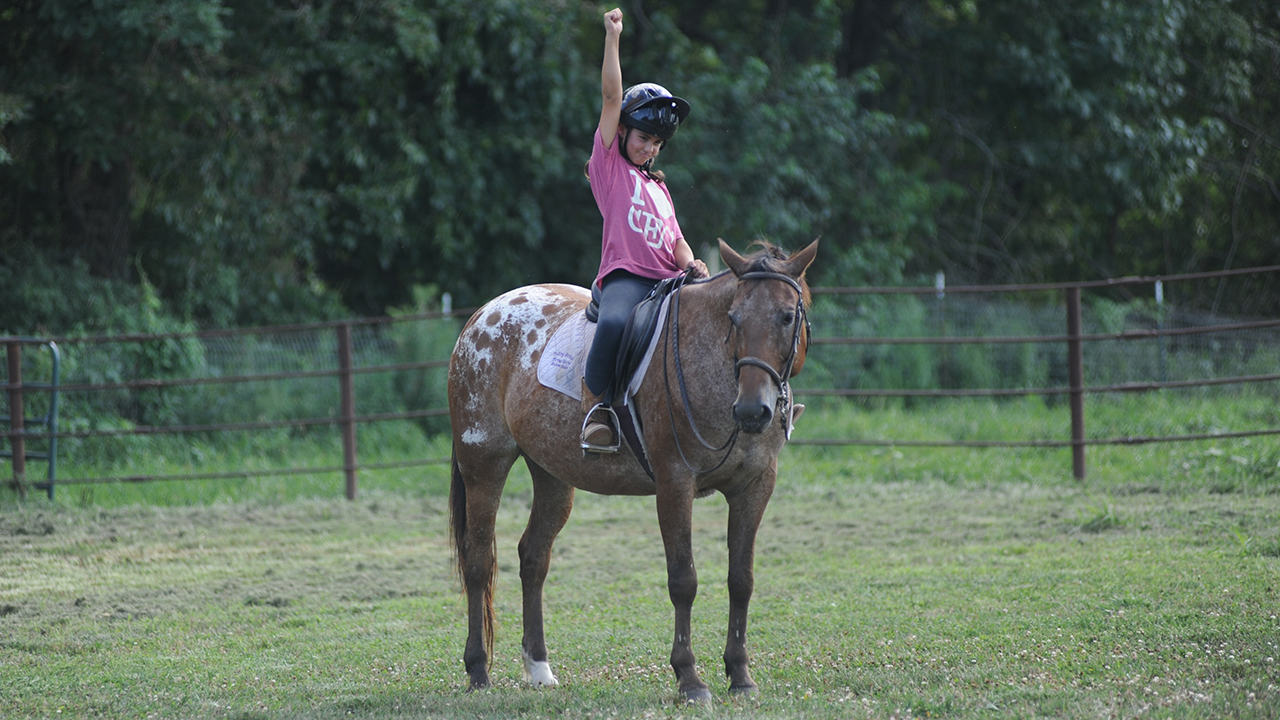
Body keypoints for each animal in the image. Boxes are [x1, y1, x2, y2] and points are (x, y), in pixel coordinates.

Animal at [446, 238, 817, 701]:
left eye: (787, 316)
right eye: (733, 318)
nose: (753, 411)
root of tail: (481, 316)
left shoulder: (755, 486)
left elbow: (741, 580)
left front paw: (740, 675)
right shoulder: (675, 484)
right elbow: (683, 580)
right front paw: (689, 677)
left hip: (552, 474)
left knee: (533, 557)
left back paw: (539, 668)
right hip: (484, 465)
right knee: (479, 562)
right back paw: (478, 670)